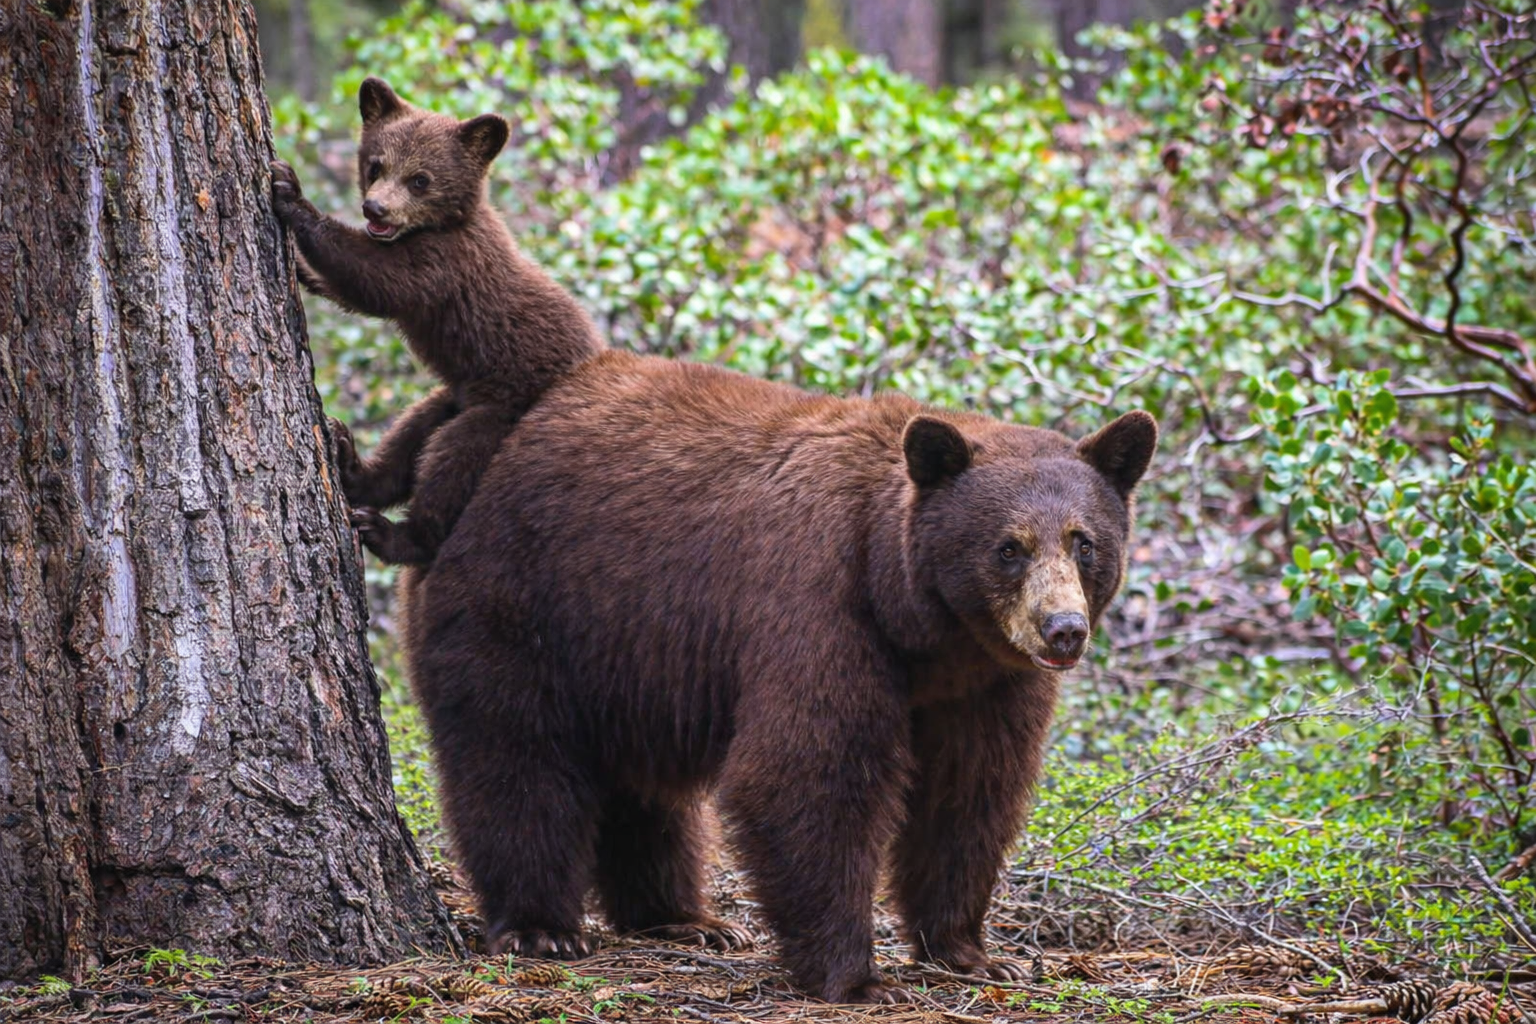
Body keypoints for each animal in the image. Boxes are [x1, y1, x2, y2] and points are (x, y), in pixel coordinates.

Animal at [270, 78, 604, 565]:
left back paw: (390, 532)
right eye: (376, 164)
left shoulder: (445, 264)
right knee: (413, 434)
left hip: (501, 408)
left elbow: (376, 279)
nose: (375, 209)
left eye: (420, 179)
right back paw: (350, 463)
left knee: (452, 460)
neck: (442, 224)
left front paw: (291, 194)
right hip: (454, 394)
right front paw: (301, 269)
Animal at [397, 349, 1157, 1003]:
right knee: (516, 755)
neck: (919, 623)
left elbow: (970, 791)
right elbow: (807, 773)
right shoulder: (818, 604)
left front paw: (970, 951)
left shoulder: (986, 681)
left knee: (641, 785)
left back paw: (683, 917)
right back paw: (542, 927)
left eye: (1084, 542)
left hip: (626, 654)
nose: (1063, 629)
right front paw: (856, 976)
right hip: (521, 601)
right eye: (1009, 547)